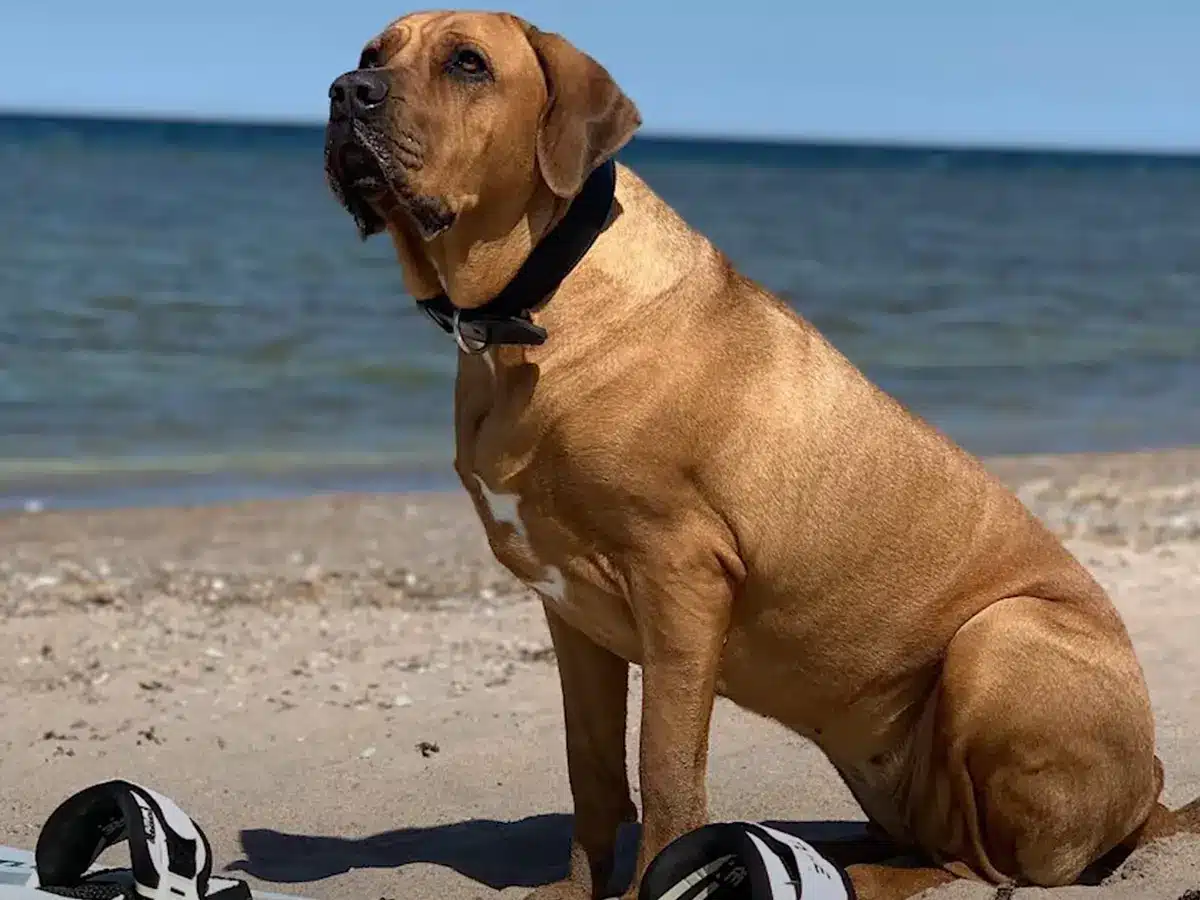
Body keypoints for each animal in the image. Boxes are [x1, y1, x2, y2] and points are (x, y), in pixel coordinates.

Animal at [321, 8, 1200, 900]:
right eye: (372, 53)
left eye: (468, 63)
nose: (346, 92)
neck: (528, 312)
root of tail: (1151, 800)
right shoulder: (569, 608)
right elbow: (591, 767)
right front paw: (575, 888)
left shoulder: (681, 578)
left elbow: (667, 767)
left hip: (999, 638)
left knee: (972, 862)